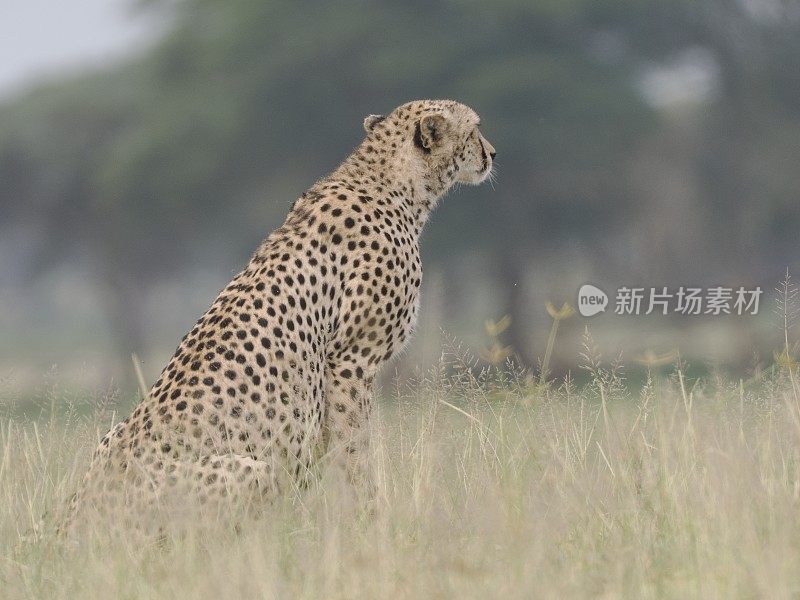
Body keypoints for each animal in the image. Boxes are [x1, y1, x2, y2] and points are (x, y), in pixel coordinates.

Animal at [65, 101, 496, 536]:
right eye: (474, 129)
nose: (493, 154)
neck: (392, 183)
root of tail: (76, 516)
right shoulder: (352, 361)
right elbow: (355, 448)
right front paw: (369, 518)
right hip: (250, 469)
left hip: (110, 439)